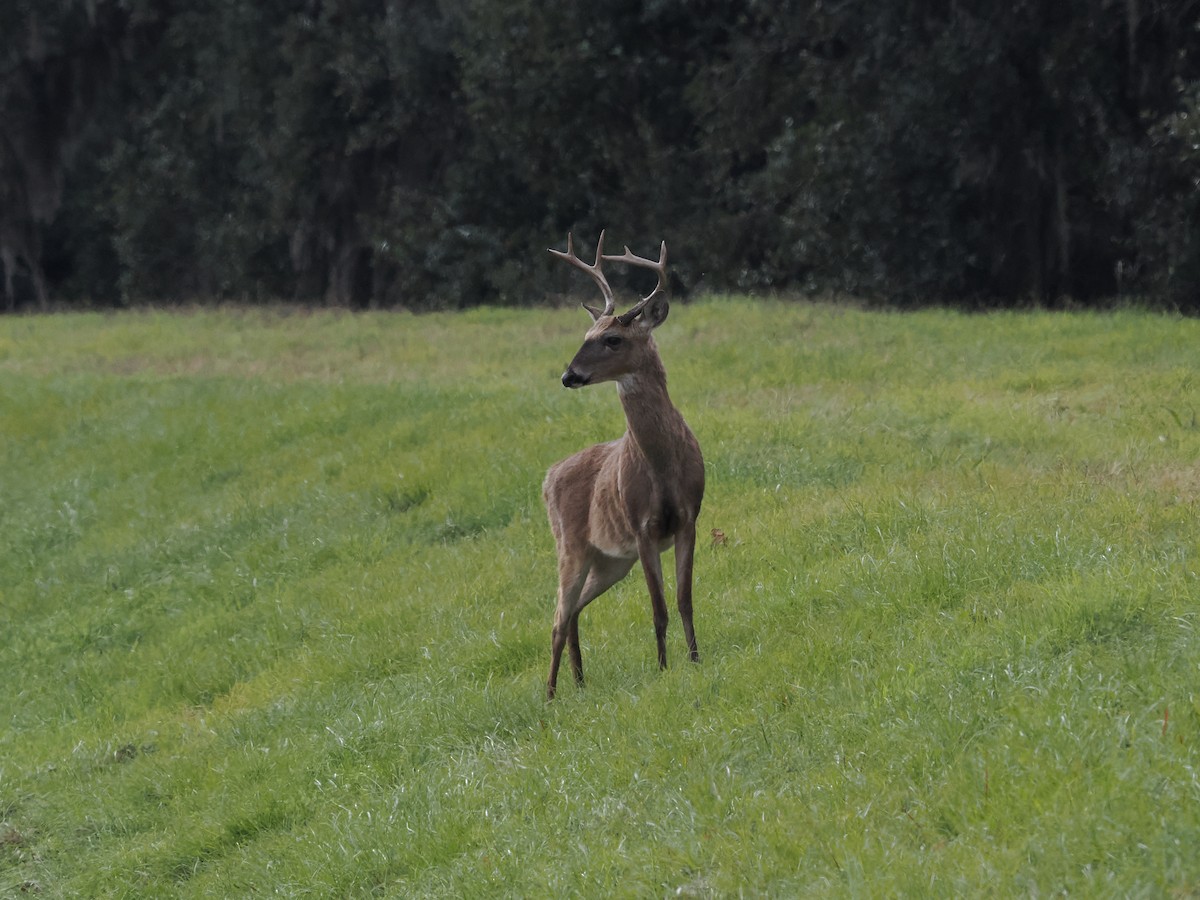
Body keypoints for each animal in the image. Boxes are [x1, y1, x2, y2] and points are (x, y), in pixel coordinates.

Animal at [543, 231, 705, 700]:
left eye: (612, 339)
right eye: (585, 333)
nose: (568, 376)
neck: (664, 468)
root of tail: (547, 477)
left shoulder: (689, 518)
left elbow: (684, 599)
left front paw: (695, 660)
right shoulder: (641, 526)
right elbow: (658, 607)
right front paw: (664, 669)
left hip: (610, 561)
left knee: (573, 611)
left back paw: (580, 683)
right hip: (571, 545)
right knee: (557, 616)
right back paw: (551, 694)